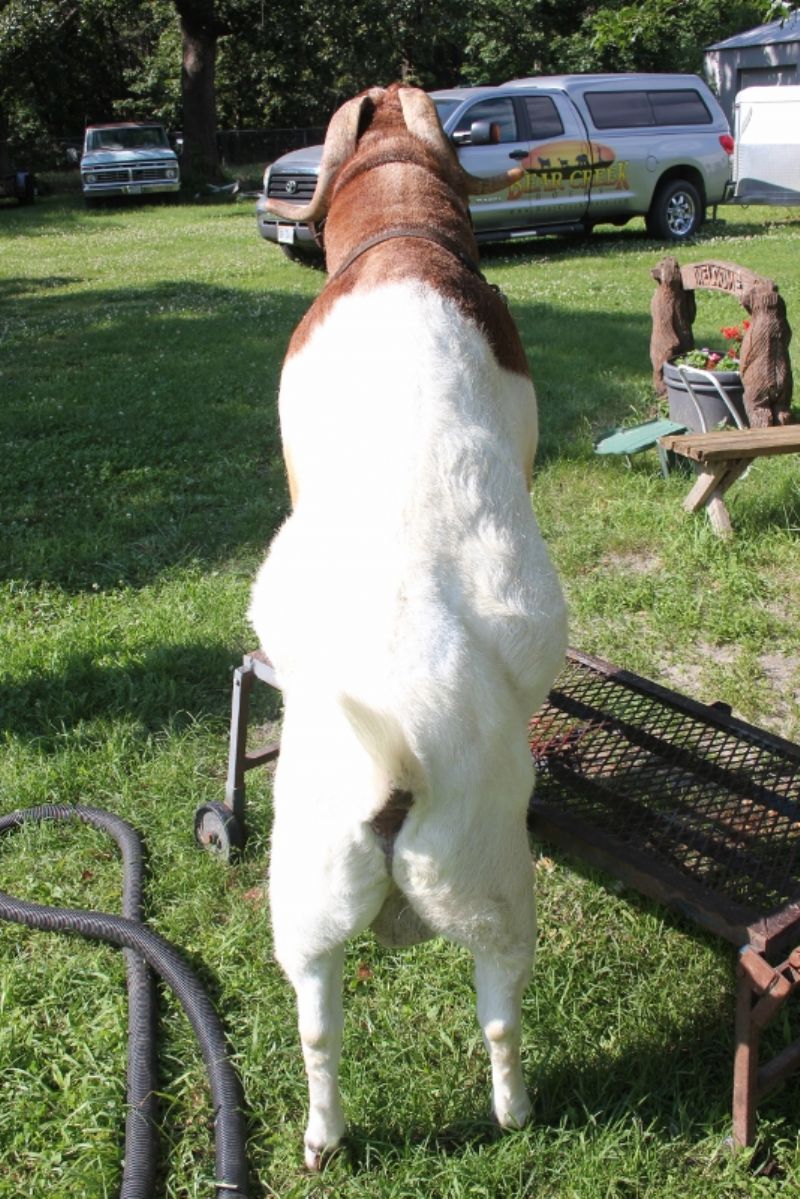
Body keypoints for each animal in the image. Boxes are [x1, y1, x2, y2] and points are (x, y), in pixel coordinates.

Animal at [250, 86, 568, 1170]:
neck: (400, 239)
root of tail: (393, 767)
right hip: (496, 886)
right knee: (504, 1015)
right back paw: (515, 1112)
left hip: (305, 901)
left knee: (316, 1026)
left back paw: (322, 1138)